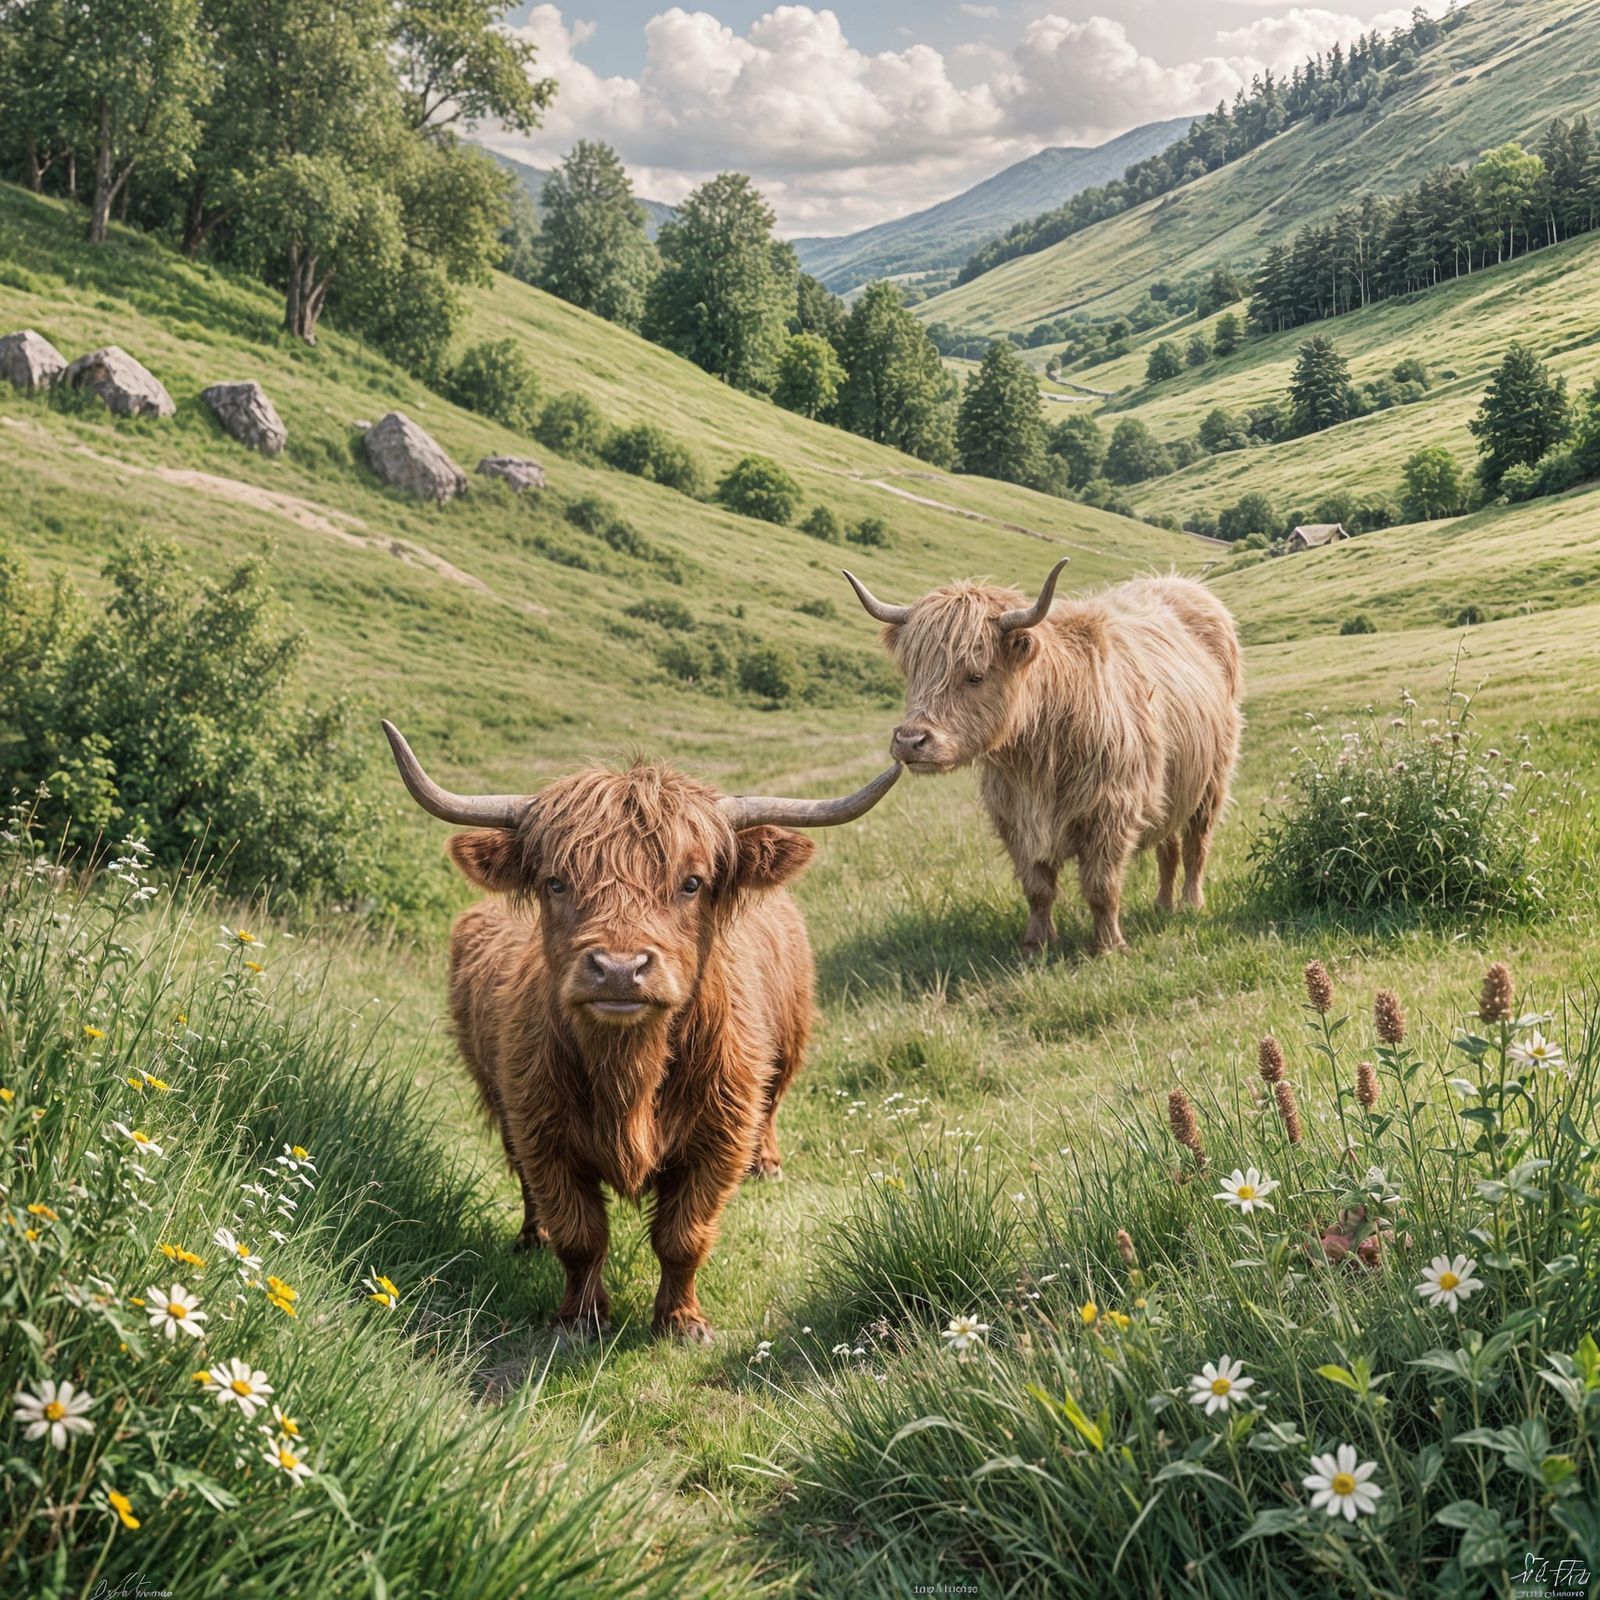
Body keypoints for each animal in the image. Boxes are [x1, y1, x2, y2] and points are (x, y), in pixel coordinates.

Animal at [382, 722, 899, 1343]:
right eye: (556, 882)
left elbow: (683, 1236)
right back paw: (534, 1236)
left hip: (789, 1044)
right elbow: (581, 1235)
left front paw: (681, 1322)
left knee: (773, 1106)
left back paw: (768, 1166)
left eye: (692, 882)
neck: (630, 1072)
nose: (619, 969)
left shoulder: (720, 1137)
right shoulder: (540, 1129)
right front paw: (580, 1318)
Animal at [841, 560, 1242, 956]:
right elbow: (1038, 888)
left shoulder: (1110, 813)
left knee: (1196, 845)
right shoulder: (1013, 818)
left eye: (975, 676)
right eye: (914, 674)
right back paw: (1162, 904)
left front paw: (1109, 946)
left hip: (1213, 779)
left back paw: (1190, 904)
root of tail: (1181, 584)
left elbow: (1101, 887)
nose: (910, 740)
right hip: (1173, 786)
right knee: (1168, 845)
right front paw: (1037, 944)